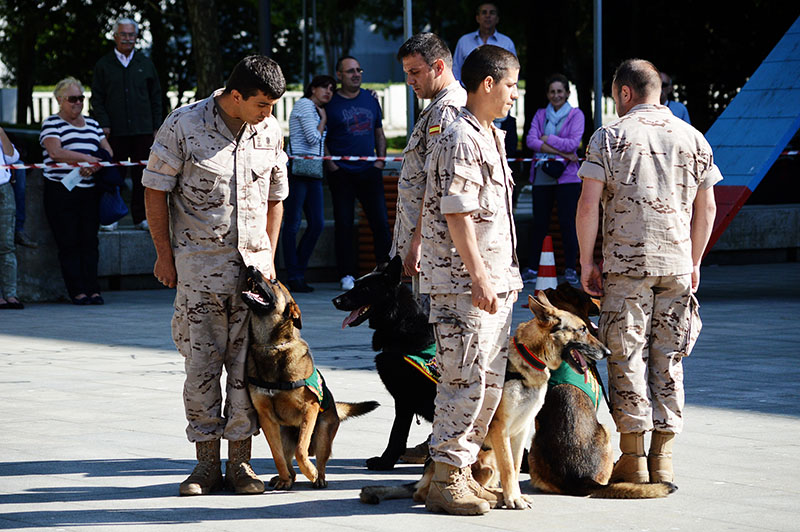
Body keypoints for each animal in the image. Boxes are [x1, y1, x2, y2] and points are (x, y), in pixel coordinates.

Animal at [242, 266, 380, 490]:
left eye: (274, 281)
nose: (251, 267)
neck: (271, 346)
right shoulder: (266, 419)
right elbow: (277, 456)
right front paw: (284, 478)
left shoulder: (310, 409)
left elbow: (301, 451)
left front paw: (311, 472)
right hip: (284, 433)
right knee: (287, 460)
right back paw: (285, 478)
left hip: (323, 431)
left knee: (319, 458)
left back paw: (319, 477)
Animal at [330, 258, 434, 470]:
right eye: (355, 284)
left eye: (364, 288)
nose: (335, 301)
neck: (400, 323)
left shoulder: (404, 399)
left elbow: (397, 433)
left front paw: (385, 461)